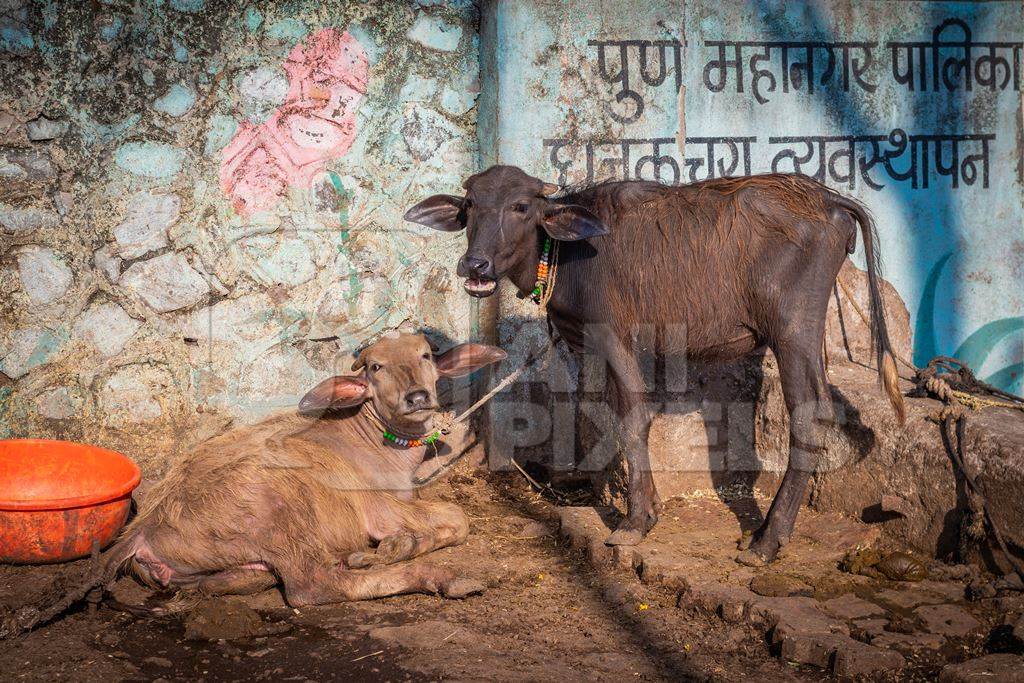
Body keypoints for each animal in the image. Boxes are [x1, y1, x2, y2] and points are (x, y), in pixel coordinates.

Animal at [3, 333, 507, 638]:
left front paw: (391, 547)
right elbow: (457, 518)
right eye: (375, 367)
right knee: (313, 587)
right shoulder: (381, 507)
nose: (418, 397)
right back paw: (440, 577)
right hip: (287, 513)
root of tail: (145, 525)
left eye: (425, 355)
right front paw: (393, 548)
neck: (374, 440)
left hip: (235, 565)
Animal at [405, 162, 905, 565]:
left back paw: (767, 540)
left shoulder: (614, 336)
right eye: (471, 205)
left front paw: (636, 521)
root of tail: (829, 199)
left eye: (521, 206)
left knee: (809, 412)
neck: (572, 255)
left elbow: (632, 417)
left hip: (792, 331)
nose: (476, 265)